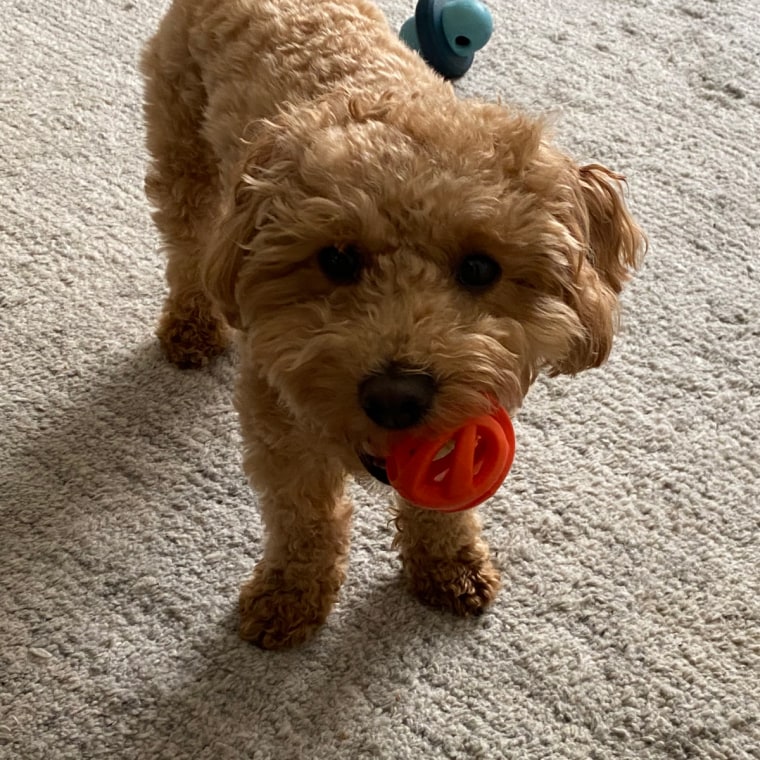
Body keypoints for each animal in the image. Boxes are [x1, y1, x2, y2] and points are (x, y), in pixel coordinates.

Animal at [141, 0, 640, 652]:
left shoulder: (464, 412)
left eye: (480, 268)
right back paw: (191, 324)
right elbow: (304, 518)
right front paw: (289, 595)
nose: (395, 396)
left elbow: (445, 501)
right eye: (336, 259)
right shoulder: (280, 426)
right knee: (189, 245)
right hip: (183, 144)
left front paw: (448, 564)